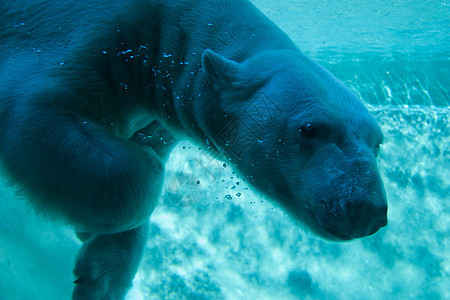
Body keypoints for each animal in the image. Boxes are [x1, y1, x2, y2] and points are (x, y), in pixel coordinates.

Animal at [0, 0, 386, 298]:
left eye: (377, 143)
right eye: (311, 129)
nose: (367, 210)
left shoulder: (157, 112)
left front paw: (99, 275)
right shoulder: (81, 32)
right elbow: (32, 110)